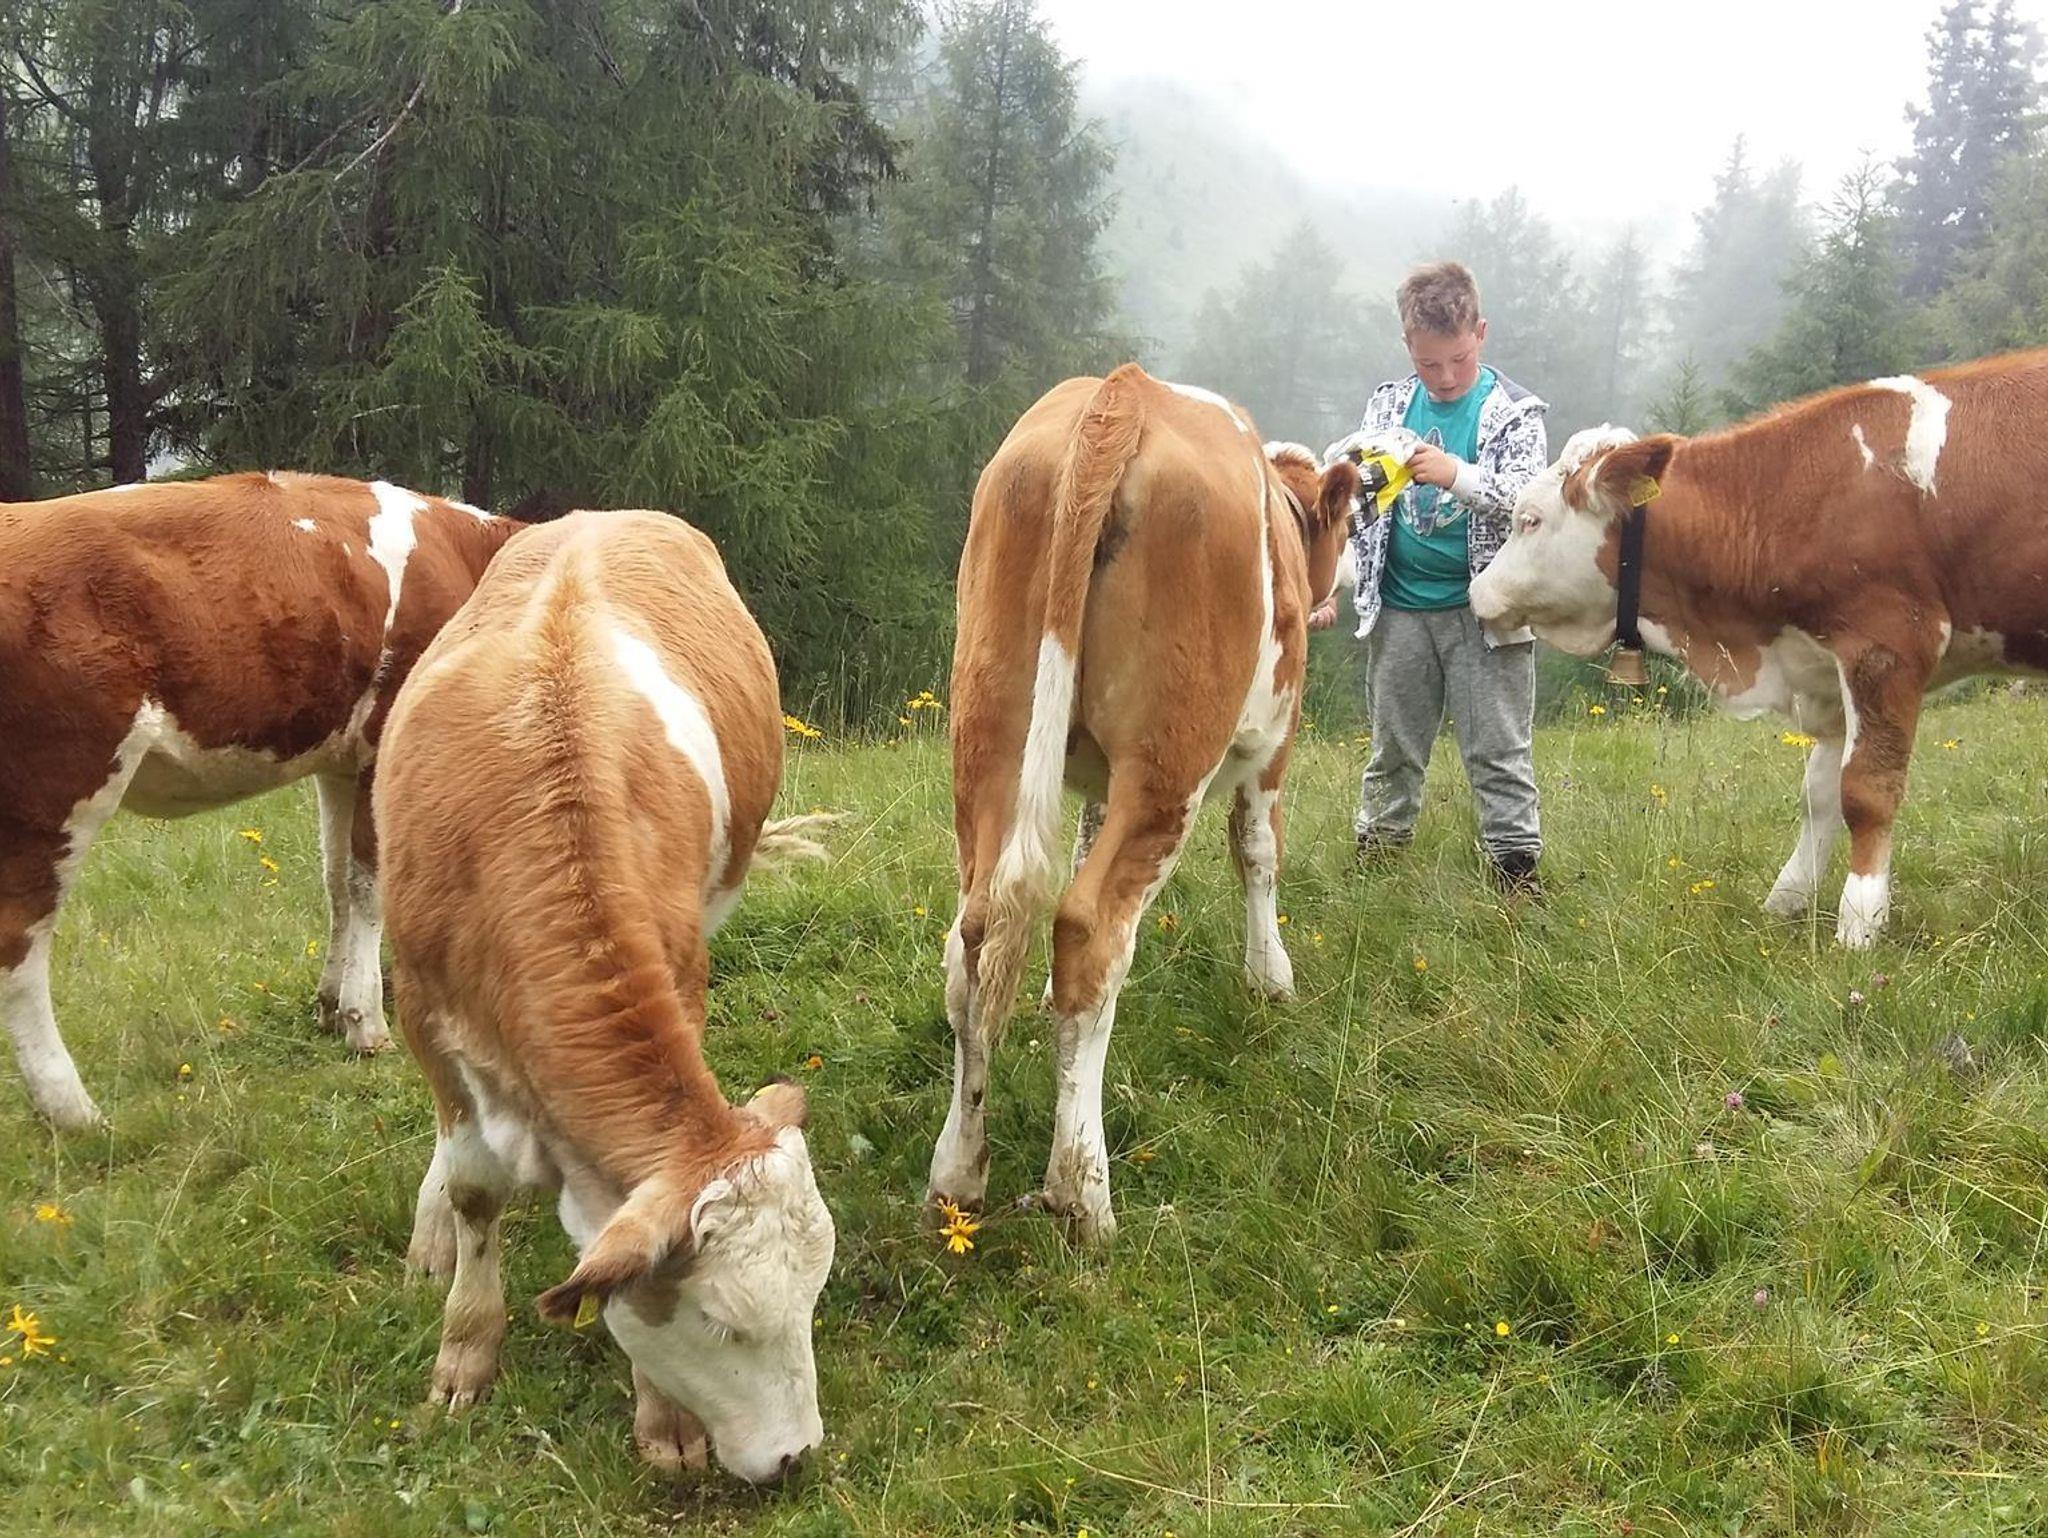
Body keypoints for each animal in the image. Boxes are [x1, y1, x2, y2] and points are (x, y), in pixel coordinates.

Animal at [0, 472, 521, 1128]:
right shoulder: (381, 744)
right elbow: (368, 886)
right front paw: (366, 1023)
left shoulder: (340, 760)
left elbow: (335, 881)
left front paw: (330, 1005)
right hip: (60, 787)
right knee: (19, 942)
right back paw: (71, 1109)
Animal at [374, 508, 835, 1485]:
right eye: (720, 1322)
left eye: (814, 1295)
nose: (795, 1457)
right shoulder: (424, 1008)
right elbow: (474, 1188)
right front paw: (465, 1352)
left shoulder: (682, 973)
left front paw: (664, 1416)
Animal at [932, 363, 1359, 1245]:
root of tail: (1119, 394)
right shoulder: (1276, 740)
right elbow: (1258, 850)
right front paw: (1271, 977)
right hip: (1171, 760)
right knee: (1091, 932)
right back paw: (1081, 1193)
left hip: (988, 732)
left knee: (975, 937)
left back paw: (958, 1170)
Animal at [1468, 349, 2048, 947]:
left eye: (1529, 520)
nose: (1477, 590)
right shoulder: (1827, 666)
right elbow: (1819, 793)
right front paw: (1787, 899)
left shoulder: (1887, 645)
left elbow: (1865, 791)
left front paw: (1859, 923)